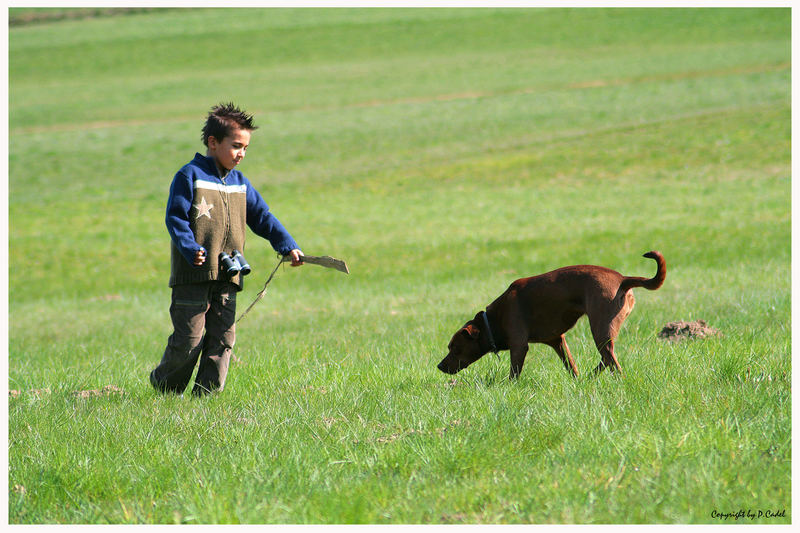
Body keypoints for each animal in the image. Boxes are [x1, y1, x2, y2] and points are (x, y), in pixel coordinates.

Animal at [434, 250, 664, 378]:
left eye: (454, 348)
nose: (439, 366)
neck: (491, 322)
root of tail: (622, 279)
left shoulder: (519, 346)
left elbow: (513, 374)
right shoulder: (557, 340)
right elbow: (571, 367)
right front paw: (577, 381)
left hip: (600, 328)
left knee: (612, 362)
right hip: (605, 331)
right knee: (607, 358)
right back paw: (590, 379)